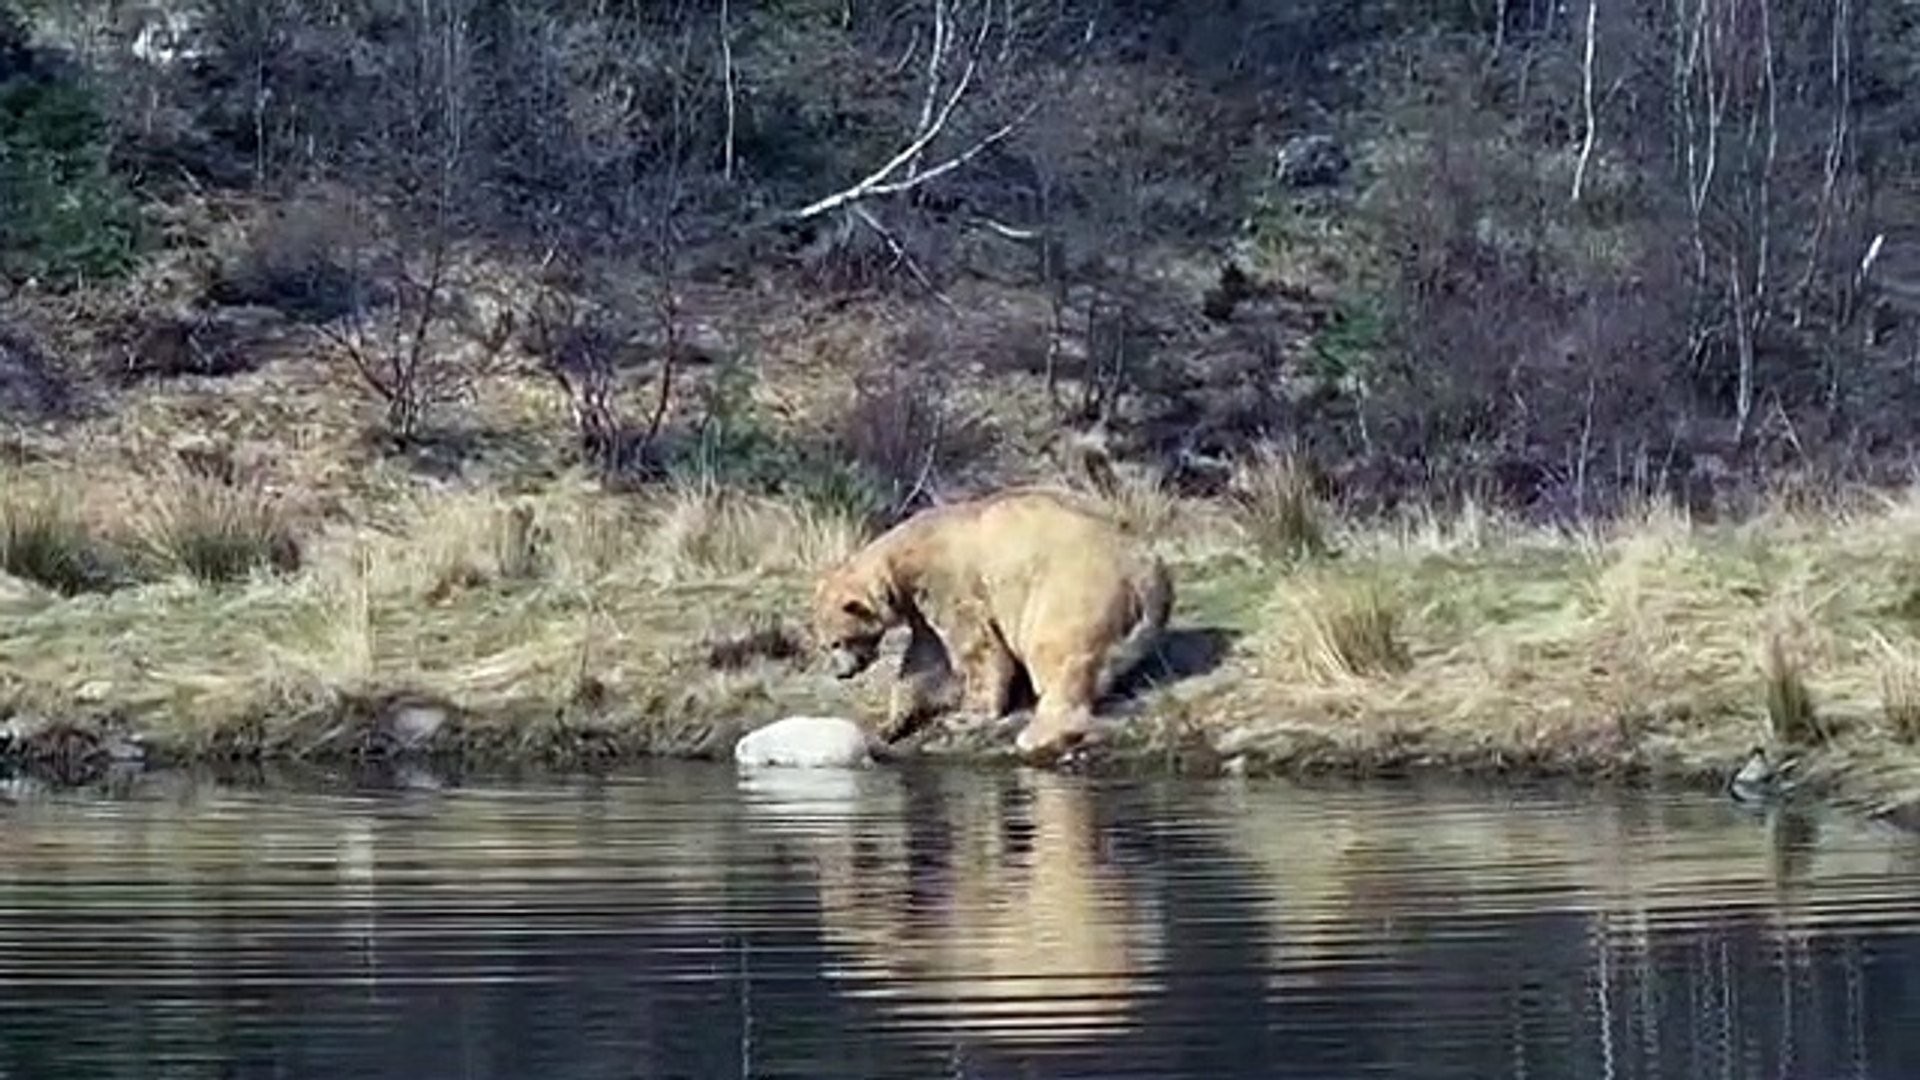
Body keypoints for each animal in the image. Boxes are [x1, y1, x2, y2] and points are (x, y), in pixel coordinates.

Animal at [806, 484, 1167, 753]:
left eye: (836, 642)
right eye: (826, 645)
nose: (841, 673)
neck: (901, 561)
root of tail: (1145, 570)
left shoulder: (947, 582)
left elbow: (977, 648)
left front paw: (968, 715)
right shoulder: (920, 605)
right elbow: (925, 661)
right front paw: (892, 723)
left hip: (1072, 585)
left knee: (1055, 649)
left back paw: (1039, 731)